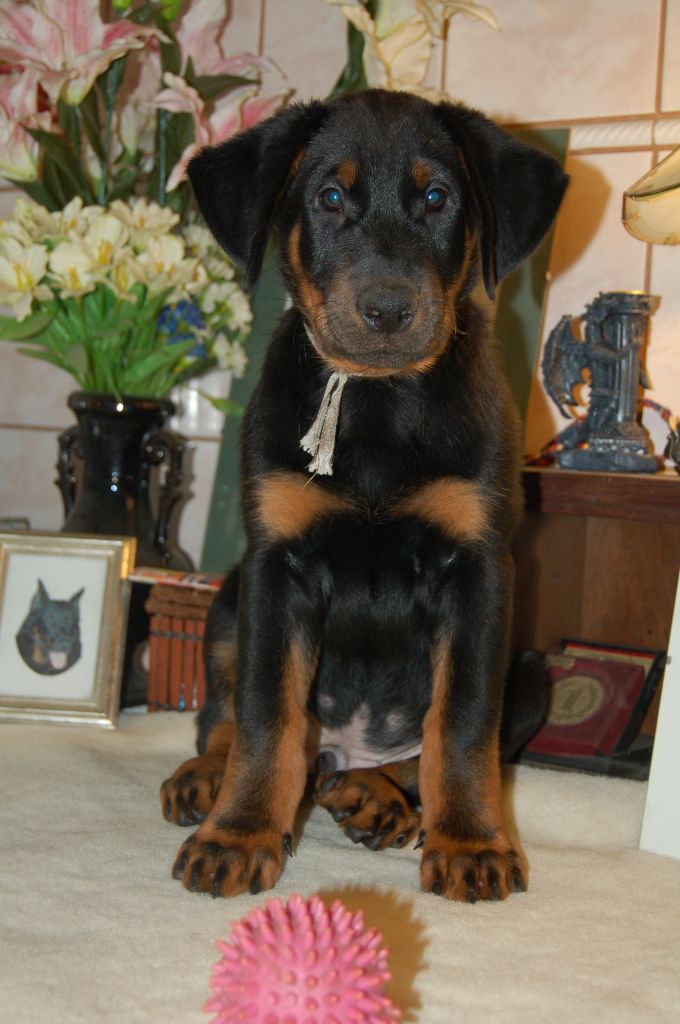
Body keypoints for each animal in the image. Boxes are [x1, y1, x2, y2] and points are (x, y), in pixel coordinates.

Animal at [161, 88, 567, 902]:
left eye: (438, 198)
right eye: (329, 197)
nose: (386, 310)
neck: (377, 402)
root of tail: (342, 754)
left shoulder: (480, 569)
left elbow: (462, 725)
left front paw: (470, 842)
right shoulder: (277, 565)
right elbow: (265, 715)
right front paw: (238, 832)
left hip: (534, 671)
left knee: (410, 753)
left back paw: (377, 795)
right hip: (229, 593)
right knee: (227, 717)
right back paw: (207, 778)